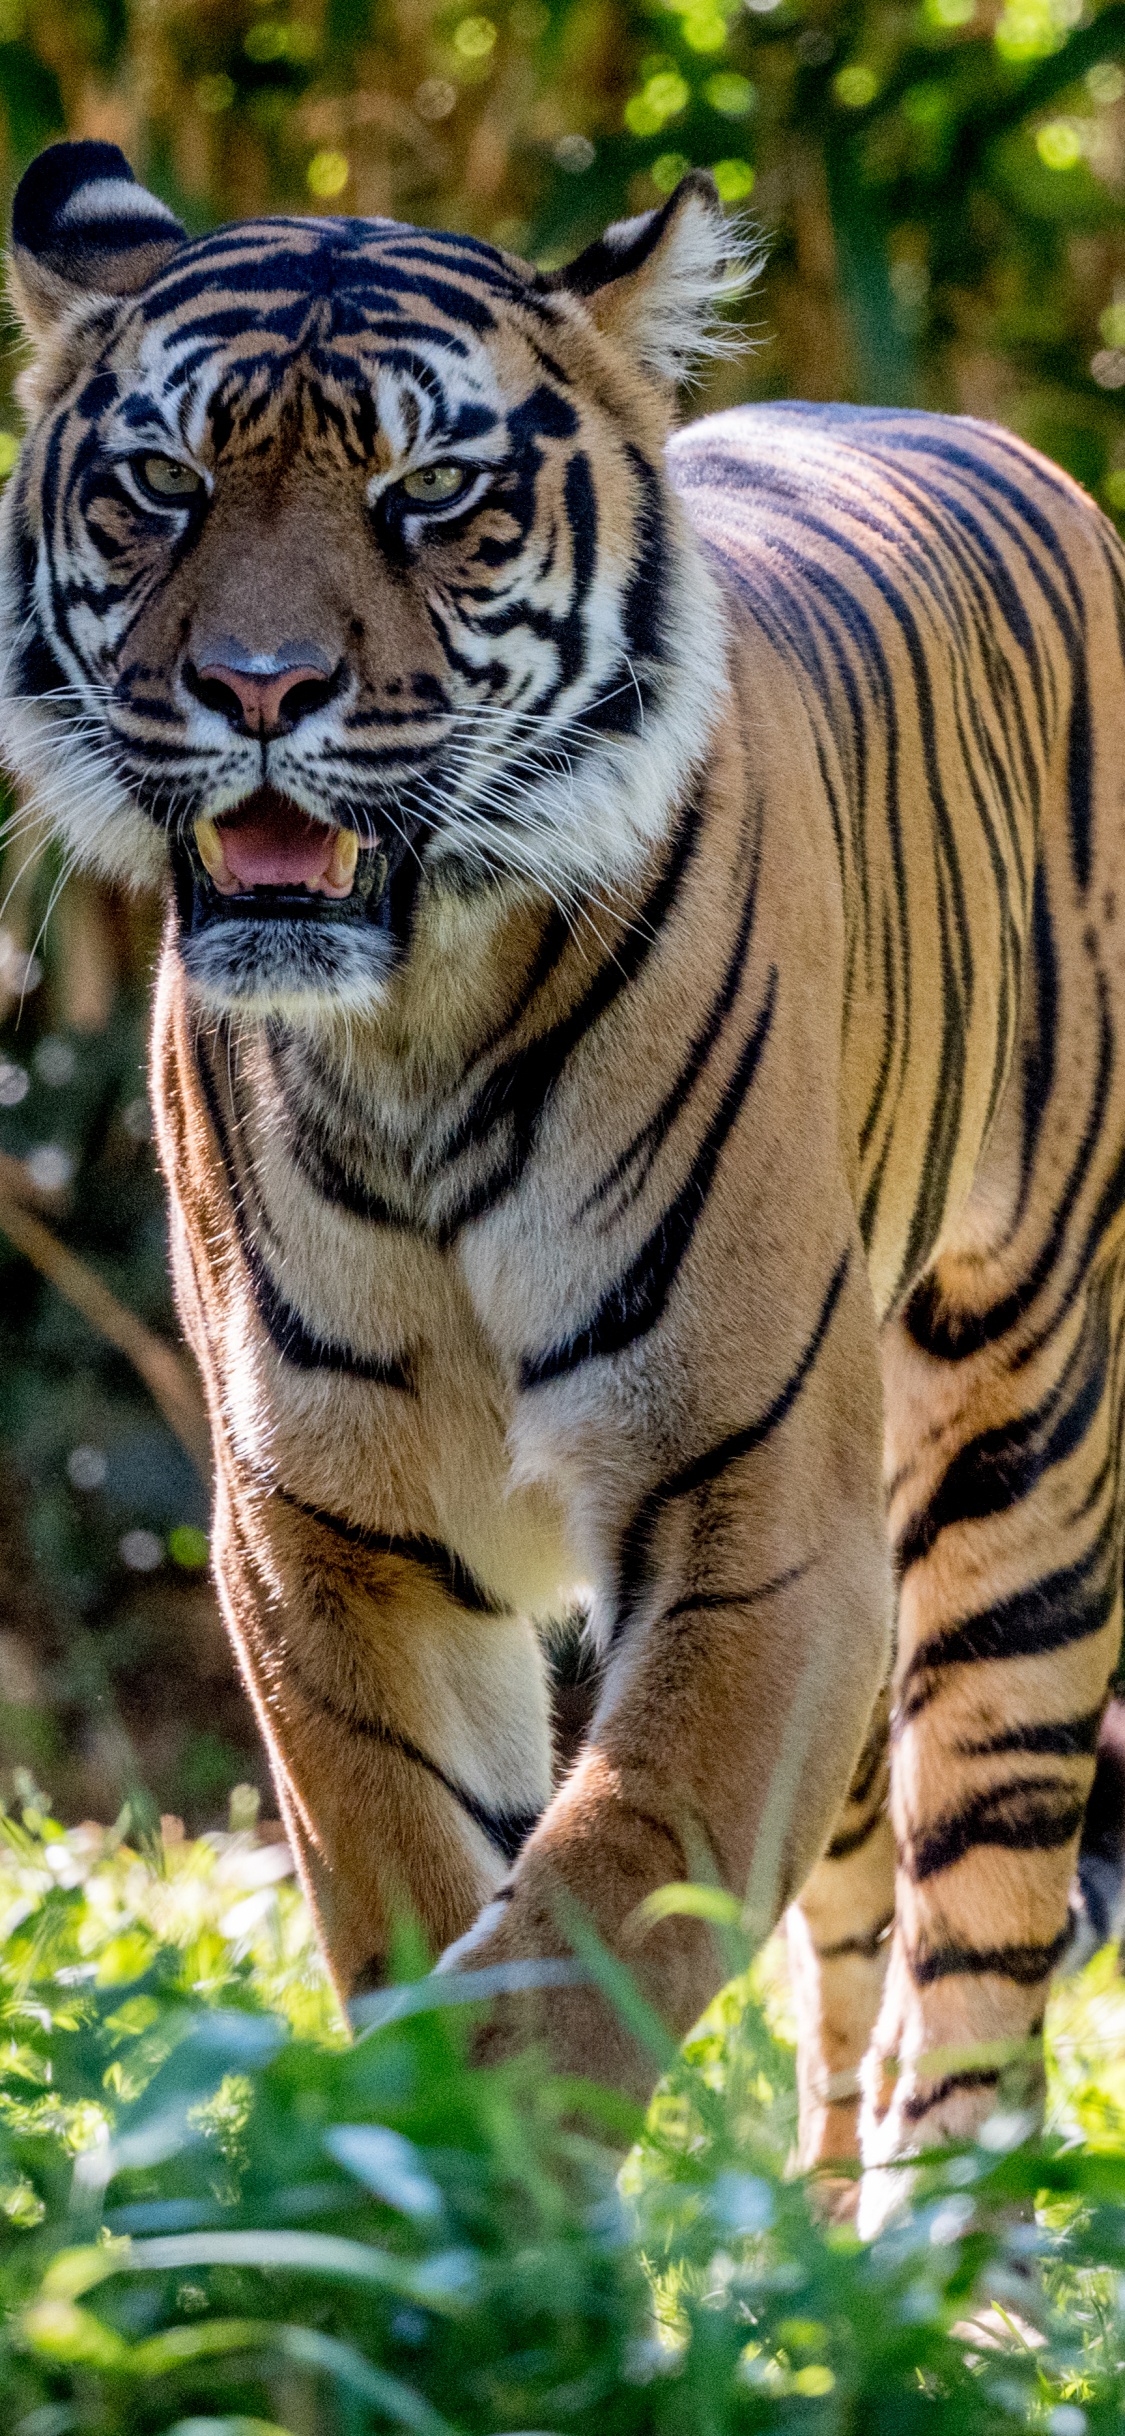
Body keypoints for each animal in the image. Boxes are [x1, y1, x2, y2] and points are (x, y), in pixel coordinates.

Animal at [4, 136, 1125, 2228]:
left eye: (430, 494)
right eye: (163, 484)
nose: (256, 688)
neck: (413, 1037)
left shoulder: (763, 1518)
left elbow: (603, 1898)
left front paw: (491, 2219)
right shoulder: (324, 1532)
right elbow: (426, 1892)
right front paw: (425, 2203)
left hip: (1016, 1446)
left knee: (982, 1939)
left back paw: (943, 2268)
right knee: (857, 1929)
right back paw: (807, 2247)